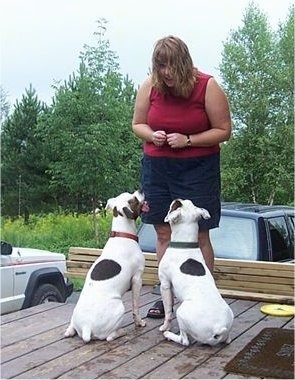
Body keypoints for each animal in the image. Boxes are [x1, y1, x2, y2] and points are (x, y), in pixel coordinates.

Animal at [64, 191, 149, 342]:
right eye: (134, 199)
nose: (141, 190)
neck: (122, 235)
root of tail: (86, 327)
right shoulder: (137, 279)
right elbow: (135, 307)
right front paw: (139, 322)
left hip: (75, 318)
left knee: (71, 327)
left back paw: (69, 330)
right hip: (120, 307)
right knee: (109, 337)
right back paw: (121, 332)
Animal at [158, 199, 235, 348]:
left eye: (174, 206)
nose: (177, 199)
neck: (184, 244)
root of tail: (218, 329)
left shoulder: (164, 284)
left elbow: (168, 310)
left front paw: (165, 327)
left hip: (181, 312)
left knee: (184, 340)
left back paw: (169, 335)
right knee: (228, 339)